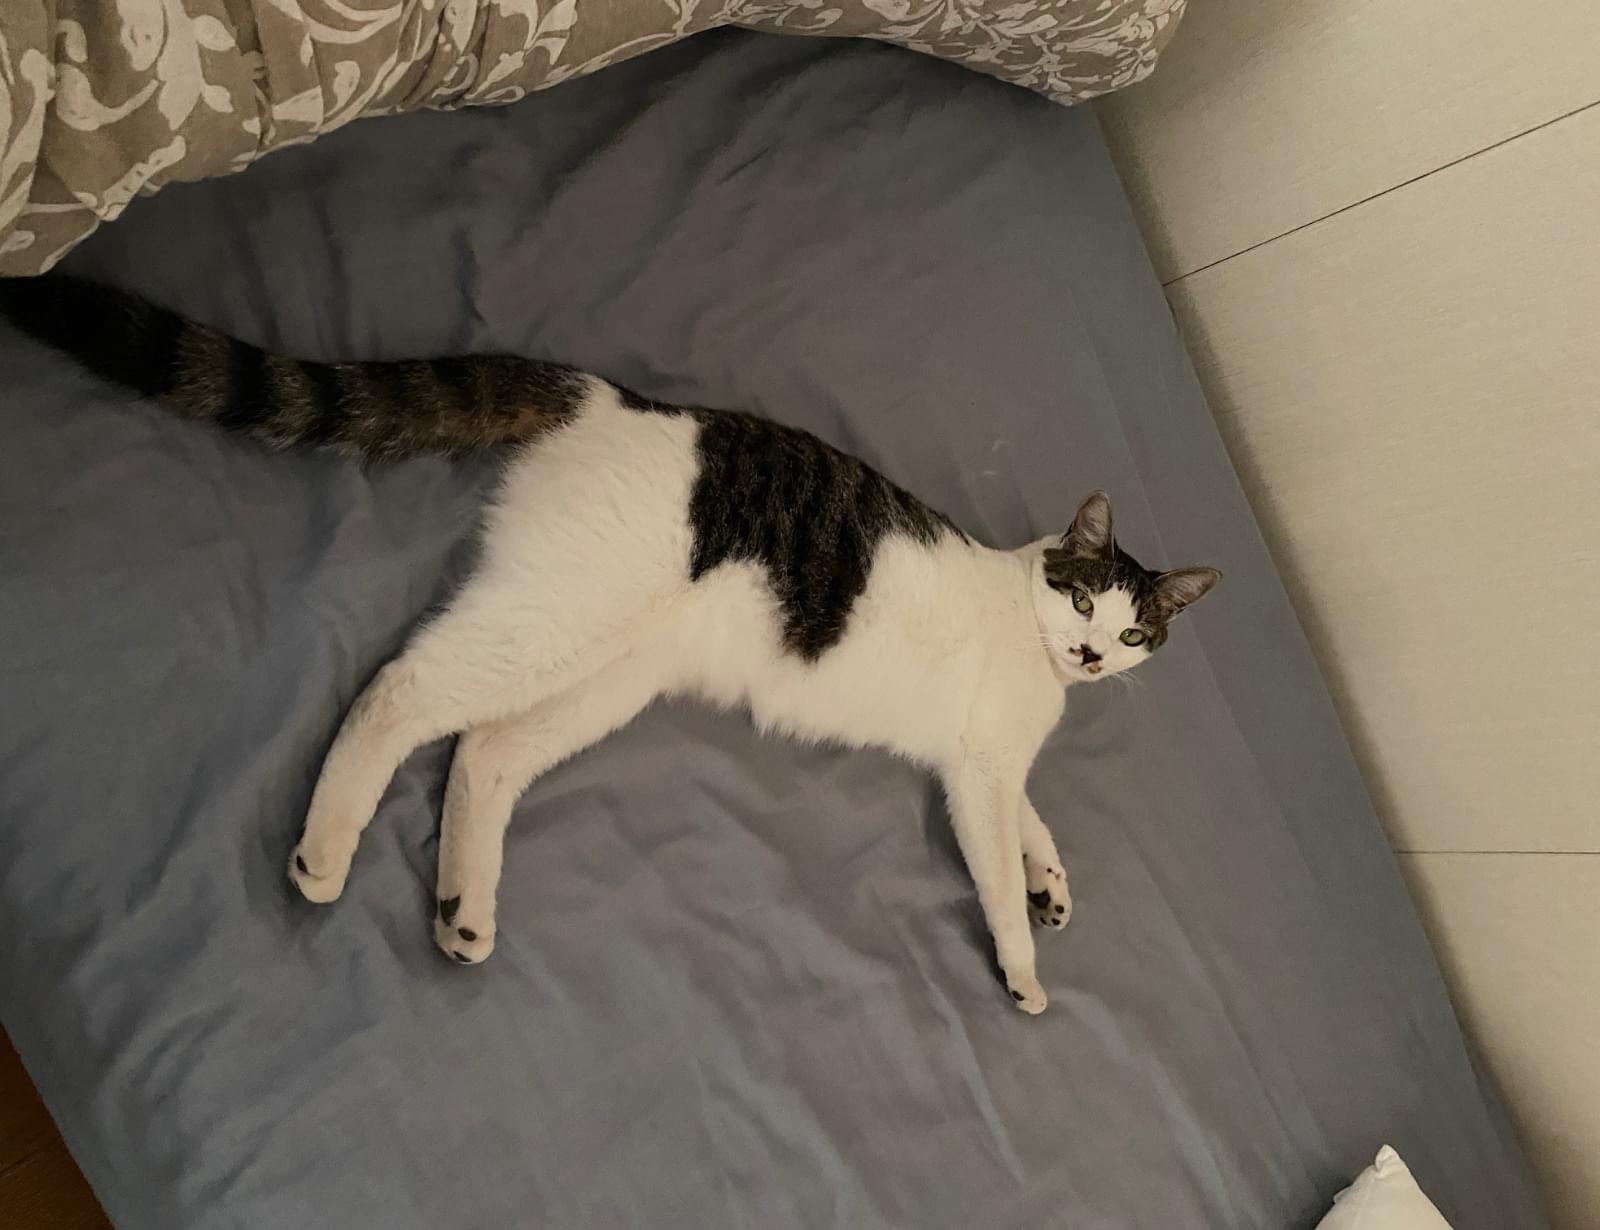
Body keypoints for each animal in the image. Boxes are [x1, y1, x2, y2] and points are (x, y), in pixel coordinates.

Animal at [0, 274, 1219, 1014]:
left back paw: (462, 909)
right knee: (400, 691)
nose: (1096, 658)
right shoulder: (975, 768)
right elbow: (997, 863)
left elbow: (1030, 817)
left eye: (1134, 629)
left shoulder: (984, 766)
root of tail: (609, 400)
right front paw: (1024, 959)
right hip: (551, 625)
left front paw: (1051, 878)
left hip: (607, 674)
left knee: (484, 752)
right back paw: (325, 850)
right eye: (1085, 602)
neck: (1031, 633)